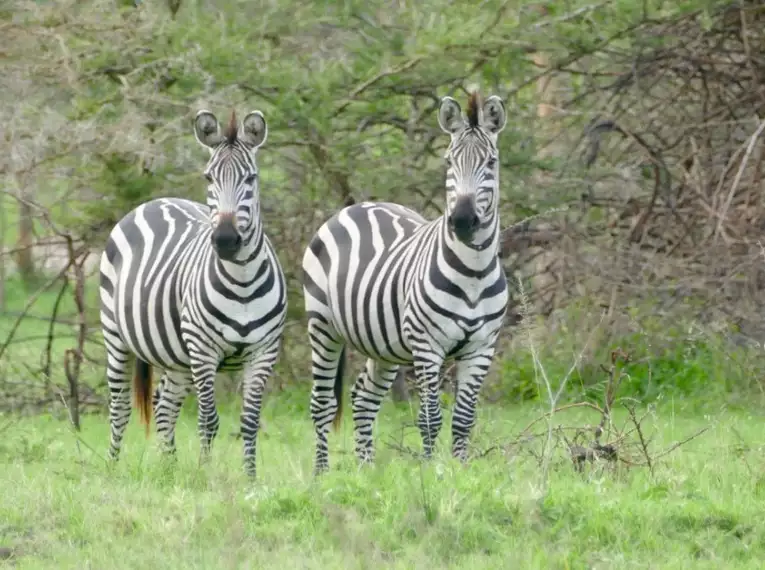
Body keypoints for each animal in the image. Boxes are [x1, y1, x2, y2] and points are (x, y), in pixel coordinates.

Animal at [100, 106, 288, 474]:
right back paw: (112, 467)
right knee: (120, 407)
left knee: (164, 405)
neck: (242, 281)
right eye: (208, 178)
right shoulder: (203, 351)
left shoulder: (264, 352)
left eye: (251, 179)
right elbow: (208, 421)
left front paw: (249, 477)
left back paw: (169, 468)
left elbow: (249, 422)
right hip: (115, 336)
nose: (226, 240)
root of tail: (155, 201)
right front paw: (206, 474)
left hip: (177, 357)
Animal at [302, 91, 508, 470]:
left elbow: (464, 418)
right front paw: (431, 471)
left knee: (363, 397)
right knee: (322, 404)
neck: (473, 272)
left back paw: (366, 469)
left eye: (491, 163)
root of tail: (356, 207)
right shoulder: (428, 347)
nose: (462, 220)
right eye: (448, 162)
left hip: (382, 345)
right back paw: (322, 472)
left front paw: (461, 470)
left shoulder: (482, 347)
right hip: (322, 326)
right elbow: (430, 417)